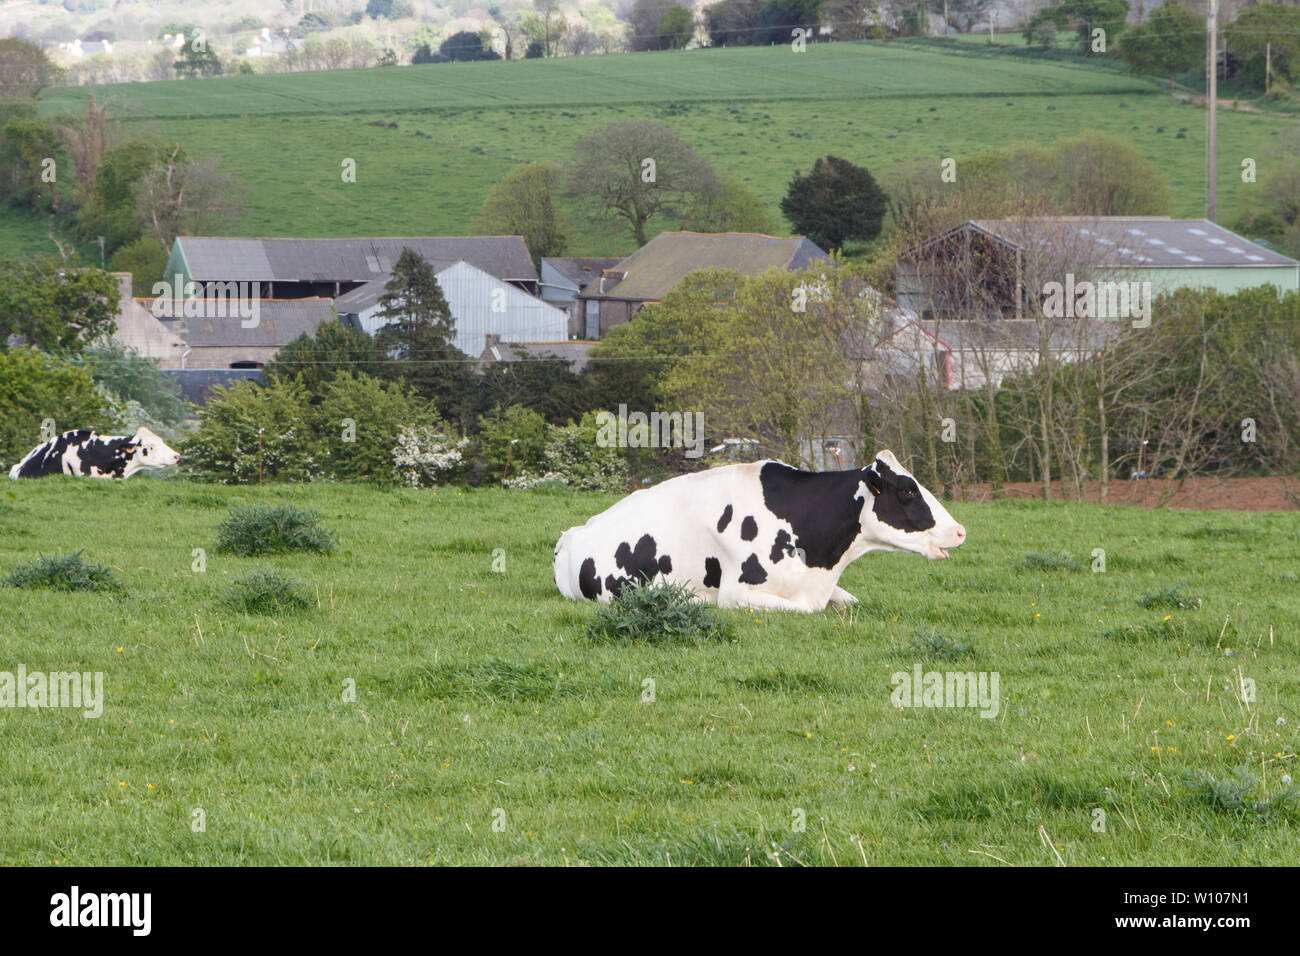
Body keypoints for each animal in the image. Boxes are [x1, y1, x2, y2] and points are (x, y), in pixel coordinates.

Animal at [554, 450, 966, 613]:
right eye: (908, 490)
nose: (960, 531)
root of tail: (573, 531)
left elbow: (850, 601)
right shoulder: (737, 593)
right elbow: (807, 610)